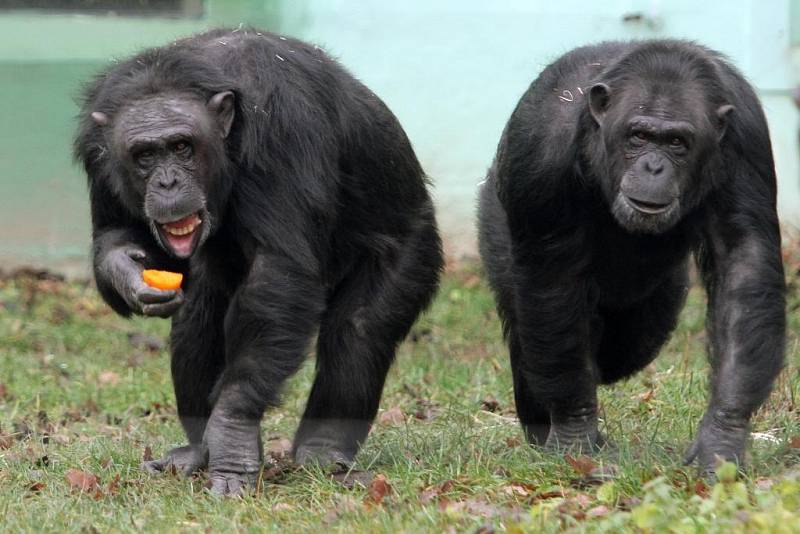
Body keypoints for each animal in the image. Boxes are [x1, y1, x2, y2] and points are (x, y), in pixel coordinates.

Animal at [76, 28, 444, 498]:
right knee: (197, 317)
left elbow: (278, 267)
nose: (168, 181)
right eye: (144, 156)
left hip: (414, 244)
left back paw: (324, 451)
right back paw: (197, 449)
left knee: (360, 329)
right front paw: (129, 270)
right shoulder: (96, 150)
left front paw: (233, 432)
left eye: (181, 146)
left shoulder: (283, 128)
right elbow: (113, 232)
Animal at [478, 39, 784, 476]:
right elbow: (554, 281)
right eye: (638, 135)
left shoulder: (746, 139)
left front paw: (723, 436)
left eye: (676, 142)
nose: (653, 166)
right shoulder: (541, 155)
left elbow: (742, 262)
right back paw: (540, 427)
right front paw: (574, 434)